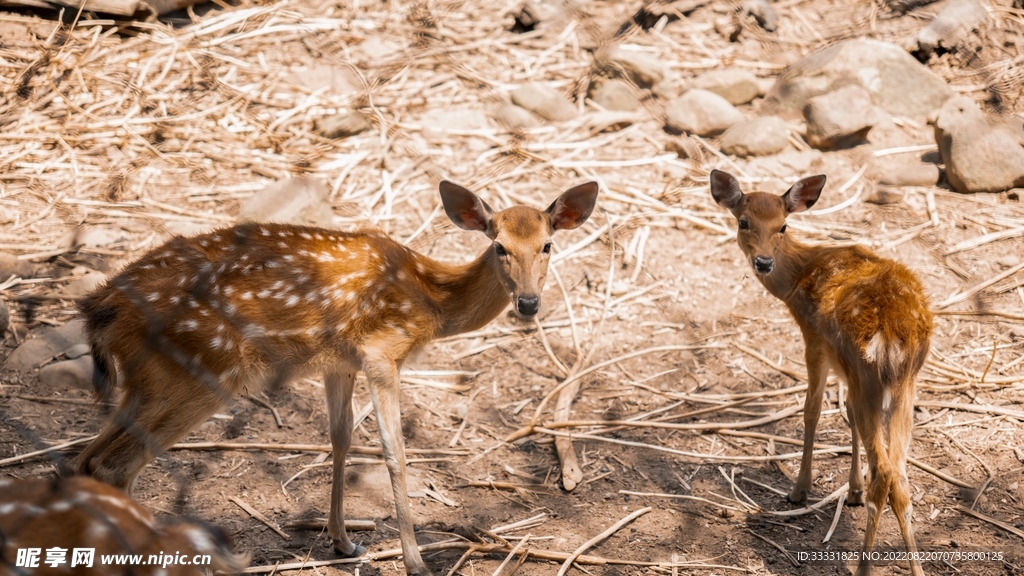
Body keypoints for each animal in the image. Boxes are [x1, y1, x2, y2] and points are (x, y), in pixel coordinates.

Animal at [74, 180, 599, 576]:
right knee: (114, 465)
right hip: (201, 372)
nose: (528, 303)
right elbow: (394, 453)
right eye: (499, 246)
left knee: (86, 458)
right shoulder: (382, 352)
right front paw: (415, 563)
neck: (429, 302)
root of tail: (100, 308)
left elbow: (341, 438)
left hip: (144, 385)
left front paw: (344, 541)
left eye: (547, 245)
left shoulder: (340, 361)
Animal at [709, 170, 931, 576]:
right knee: (900, 477)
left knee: (885, 474)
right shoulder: (846, 369)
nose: (763, 262)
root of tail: (893, 334)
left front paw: (799, 489)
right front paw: (852, 490)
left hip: (869, 374)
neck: (799, 275)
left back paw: (862, 567)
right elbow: (848, 416)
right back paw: (916, 567)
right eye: (743, 221)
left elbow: (811, 410)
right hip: (903, 382)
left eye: (783, 225)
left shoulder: (814, 341)